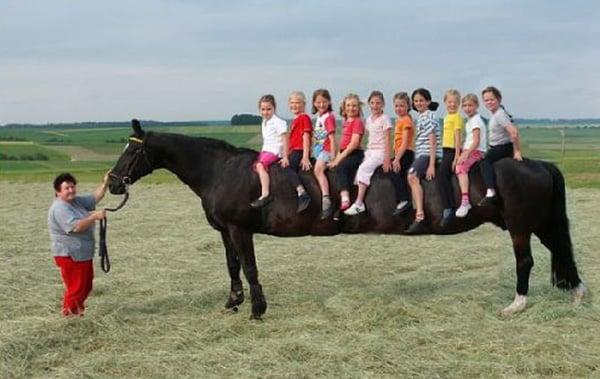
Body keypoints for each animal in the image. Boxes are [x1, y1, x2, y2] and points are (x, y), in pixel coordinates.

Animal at [109, 119, 584, 320]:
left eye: (131, 151)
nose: (113, 183)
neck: (222, 170)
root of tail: (534, 162)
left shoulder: (241, 229)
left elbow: (249, 266)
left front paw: (257, 310)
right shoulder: (227, 231)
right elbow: (232, 267)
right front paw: (233, 302)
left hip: (522, 225)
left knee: (528, 260)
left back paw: (518, 304)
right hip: (533, 223)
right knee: (558, 250)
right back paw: (577, 295)